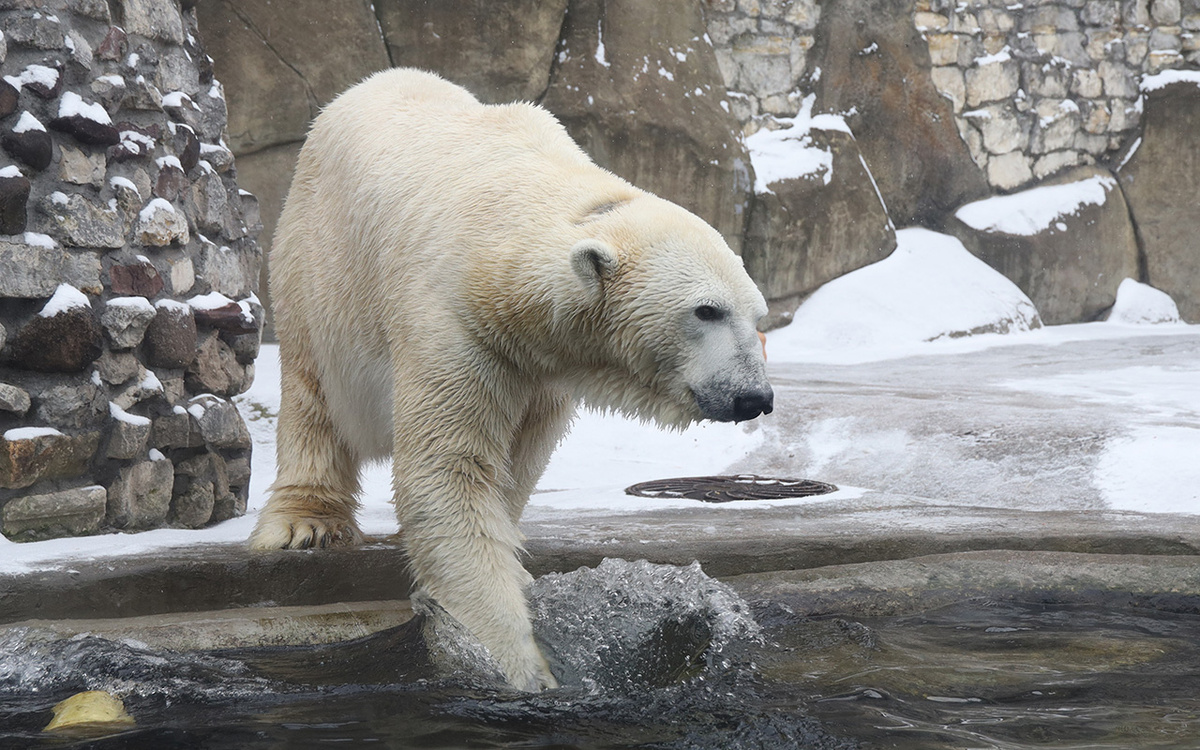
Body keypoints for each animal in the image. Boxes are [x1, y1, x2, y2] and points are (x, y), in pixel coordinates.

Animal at [249, 68, 773, 691]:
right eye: (706, 310)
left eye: (757, 314)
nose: (754, 396)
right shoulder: (454, 322)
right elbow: (449, 469)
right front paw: (521, 661)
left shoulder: (541, 363)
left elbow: (514, 458)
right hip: (318, 265)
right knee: (313, 392)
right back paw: (305, 523)